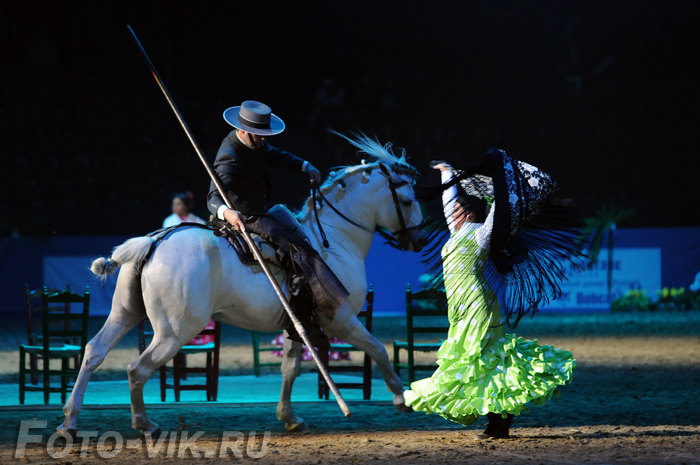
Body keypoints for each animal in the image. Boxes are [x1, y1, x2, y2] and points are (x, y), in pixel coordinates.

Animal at [57, 133, 426, 436]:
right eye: (408, 201)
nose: (420, 239)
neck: (333, 239)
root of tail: (153, 242)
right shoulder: (342, 320)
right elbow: (378, 349)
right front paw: (401, 396)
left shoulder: (298, 324)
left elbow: (289, 368)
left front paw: (289, 417)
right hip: (174, 332)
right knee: (136, 369)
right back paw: (144, 424)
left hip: (125, 313)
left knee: (93, 352)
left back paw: (70, 421)